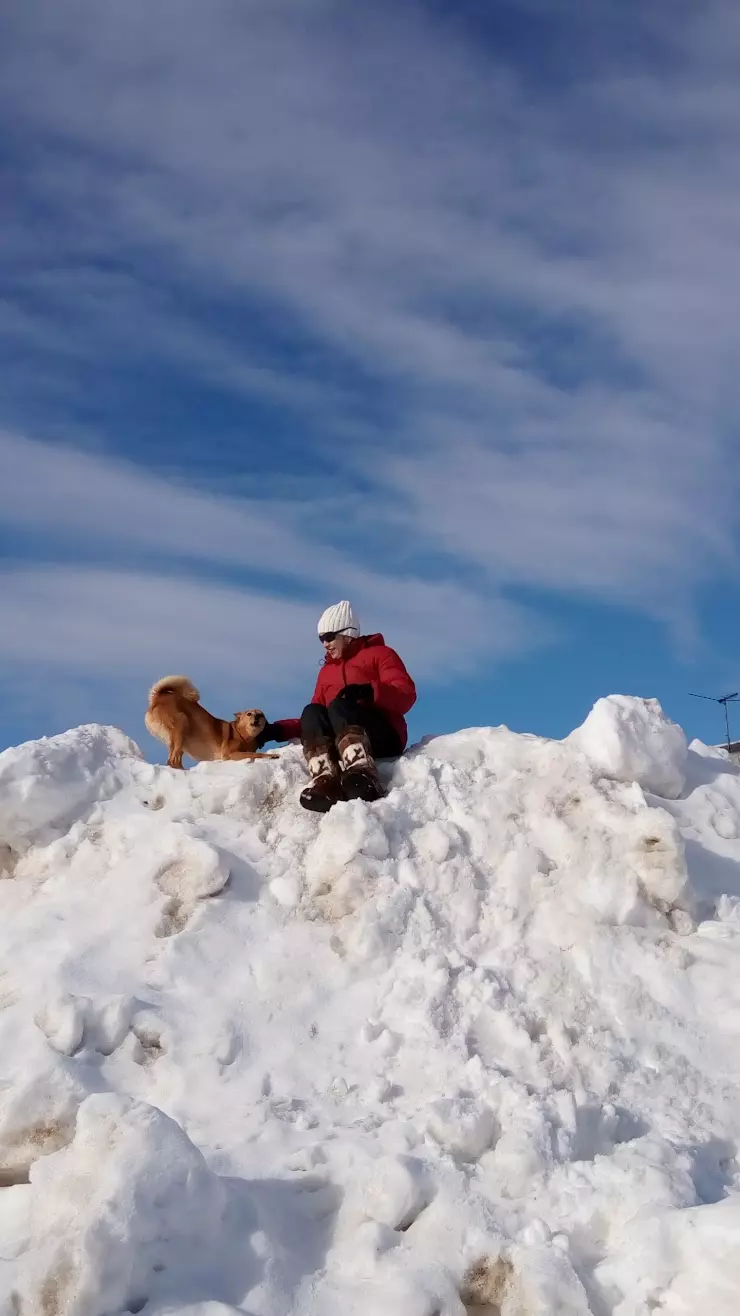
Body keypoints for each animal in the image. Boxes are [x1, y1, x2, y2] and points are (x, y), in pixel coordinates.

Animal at [144, 679, 279, 768]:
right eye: (249, 714)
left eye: (261, 715)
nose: (256, 718)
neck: (243, 736)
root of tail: (158, 697)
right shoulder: (230, 754)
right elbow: (255, 754)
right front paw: (272, 755)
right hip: (182, 724)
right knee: (173, 760)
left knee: (172, 760)